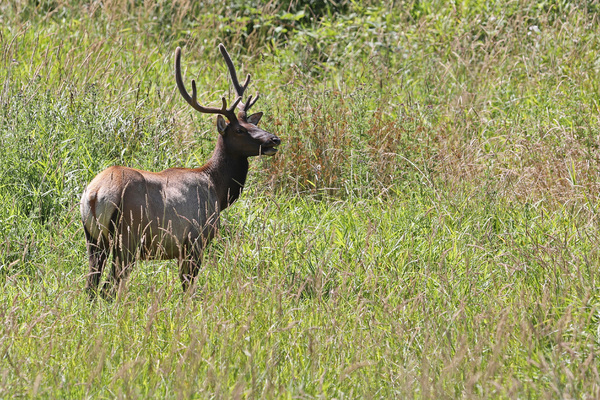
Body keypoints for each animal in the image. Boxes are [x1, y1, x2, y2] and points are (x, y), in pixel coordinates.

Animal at [79, 43, 282, 300]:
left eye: (254, 124)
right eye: (239, 130)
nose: (274, 139)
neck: (217, 190)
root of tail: (97, 195)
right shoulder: (194, 239)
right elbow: (187, 287)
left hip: (94, 240)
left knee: (91, 286)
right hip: (128, 238)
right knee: (108, 287)